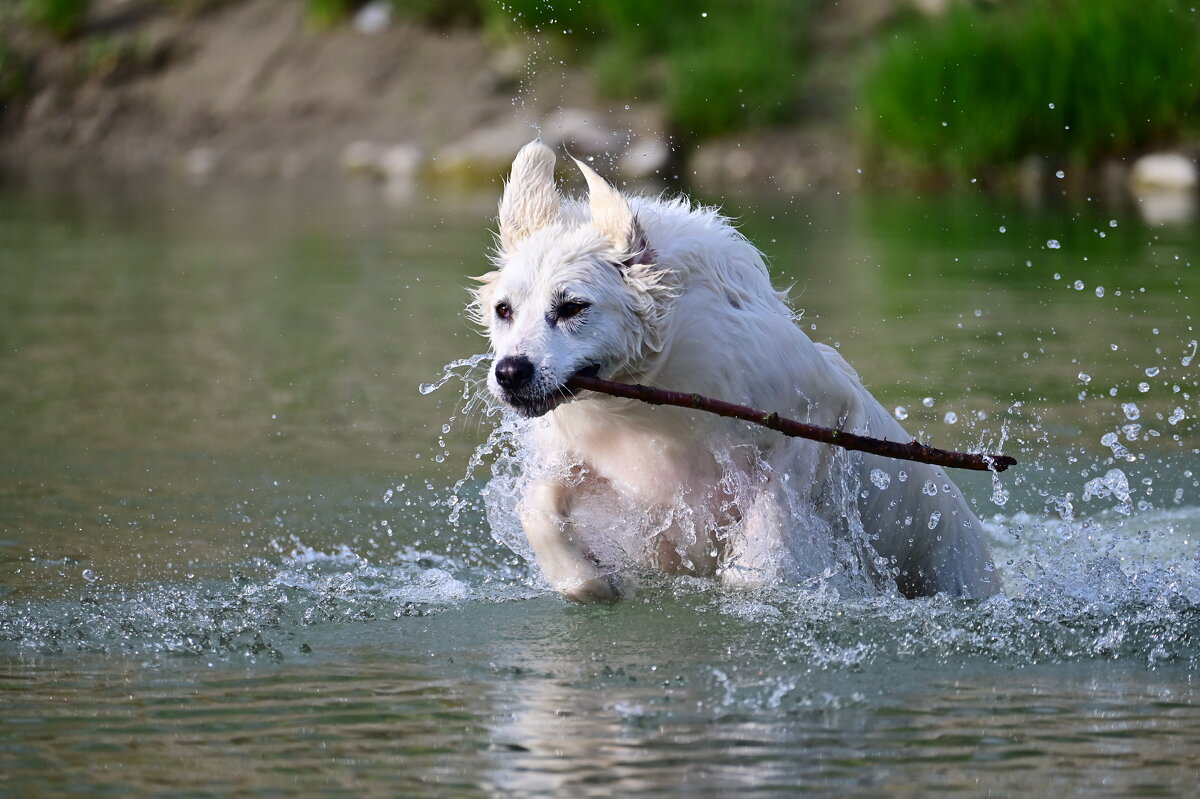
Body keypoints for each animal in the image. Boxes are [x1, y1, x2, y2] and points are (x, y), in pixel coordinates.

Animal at [472, 143, 998, 599]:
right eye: (504, 310)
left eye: (573, 307)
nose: (511, 373)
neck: (648, 396)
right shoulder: (586, 458)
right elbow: (536, 505)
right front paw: (589, 581)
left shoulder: (808, 423)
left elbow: (761, 544)